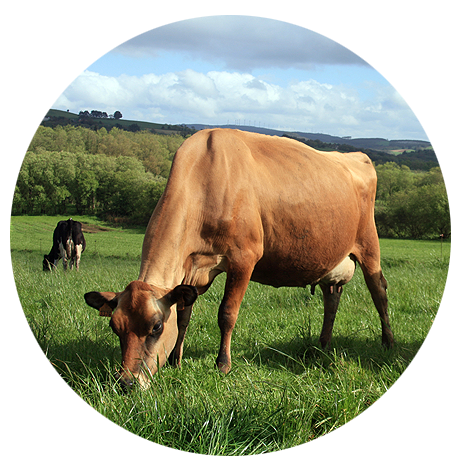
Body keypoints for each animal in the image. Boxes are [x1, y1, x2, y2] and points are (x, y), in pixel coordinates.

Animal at [84, 128, 394, 389]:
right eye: (115, 327)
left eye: (156, 327)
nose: (127, 382)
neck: (205, 179)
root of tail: (356, 156)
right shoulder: (190, 272)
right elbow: (183, 316)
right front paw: (175, 361)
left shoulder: (244, 258)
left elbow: (227, 314)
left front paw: (222, 364)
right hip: (332, 261)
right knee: (332, 300)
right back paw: (323, 345)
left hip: (369, 244)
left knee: (379, 292)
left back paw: (388, 343)